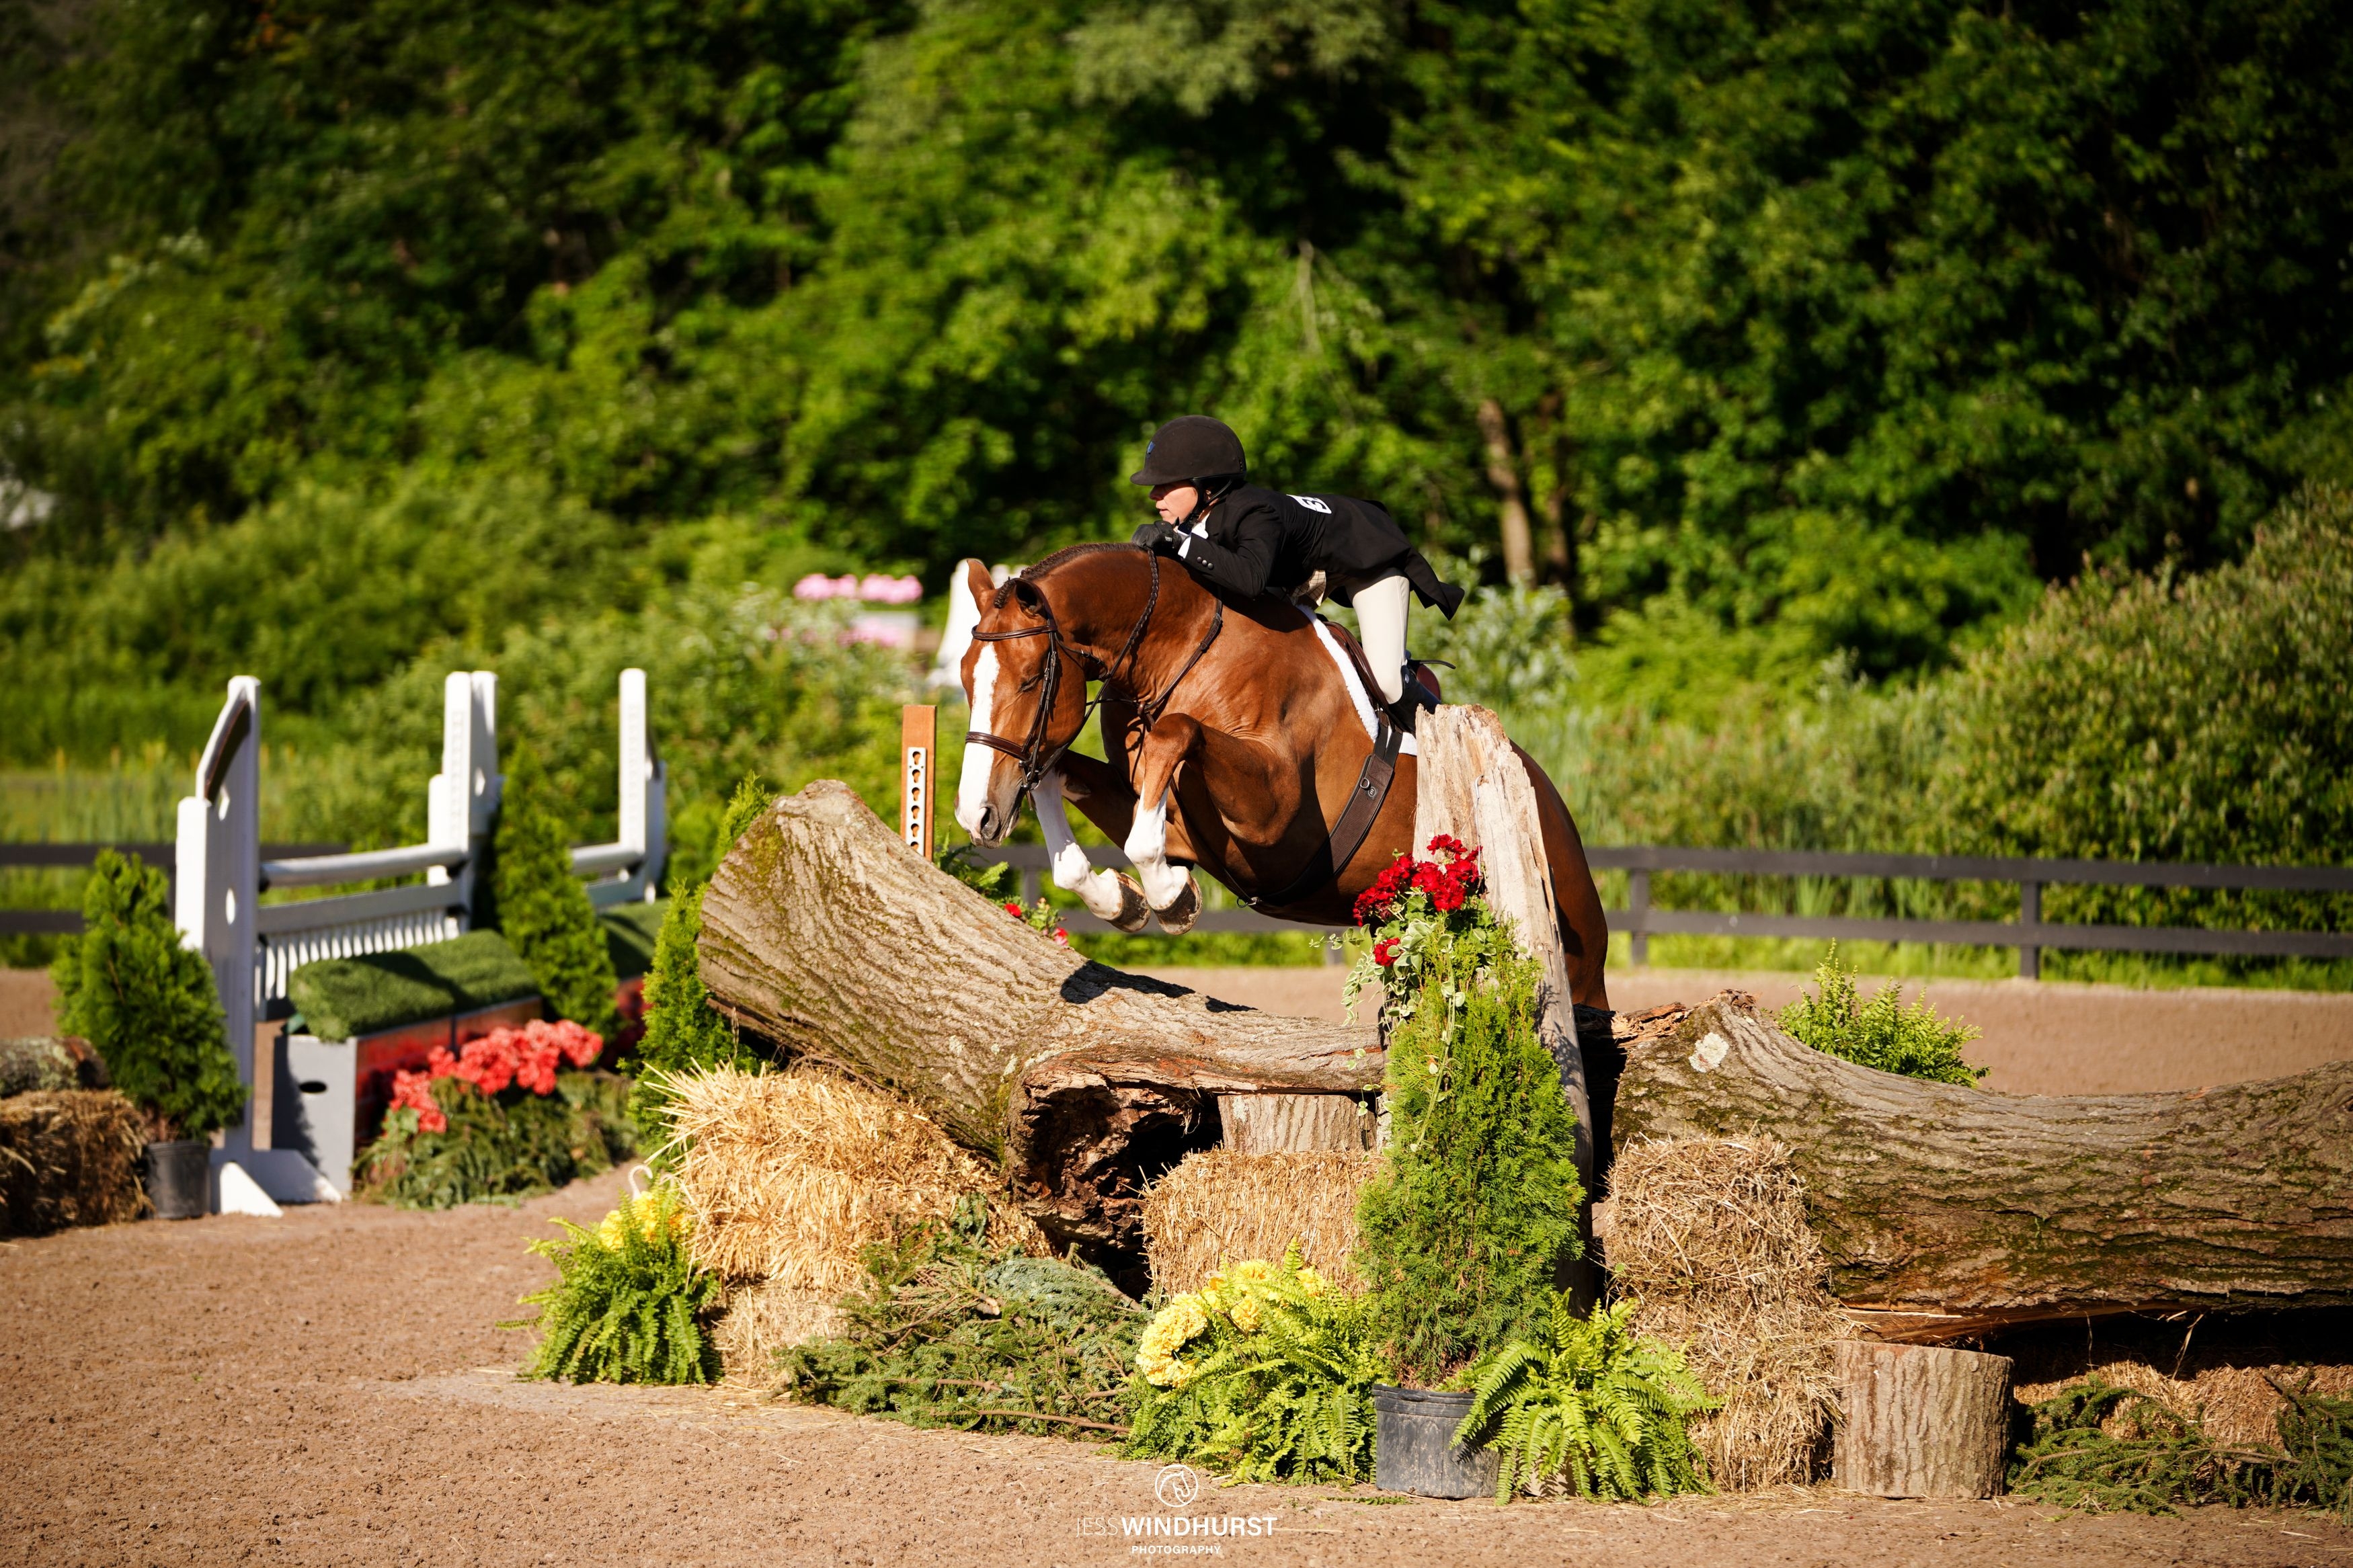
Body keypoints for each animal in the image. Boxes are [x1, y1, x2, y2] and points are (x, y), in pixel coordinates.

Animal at [950, 543, 1614, 1010]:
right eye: (962, 676)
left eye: (1030, 680)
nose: (977, 816)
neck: (1180, 649)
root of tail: (1555, 807)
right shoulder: (1168, 813)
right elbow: (1054, 776)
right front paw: (1124, 899)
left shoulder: (1272, 815)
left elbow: (1176, 735)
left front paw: (1168, 895)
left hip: (1570, 952)